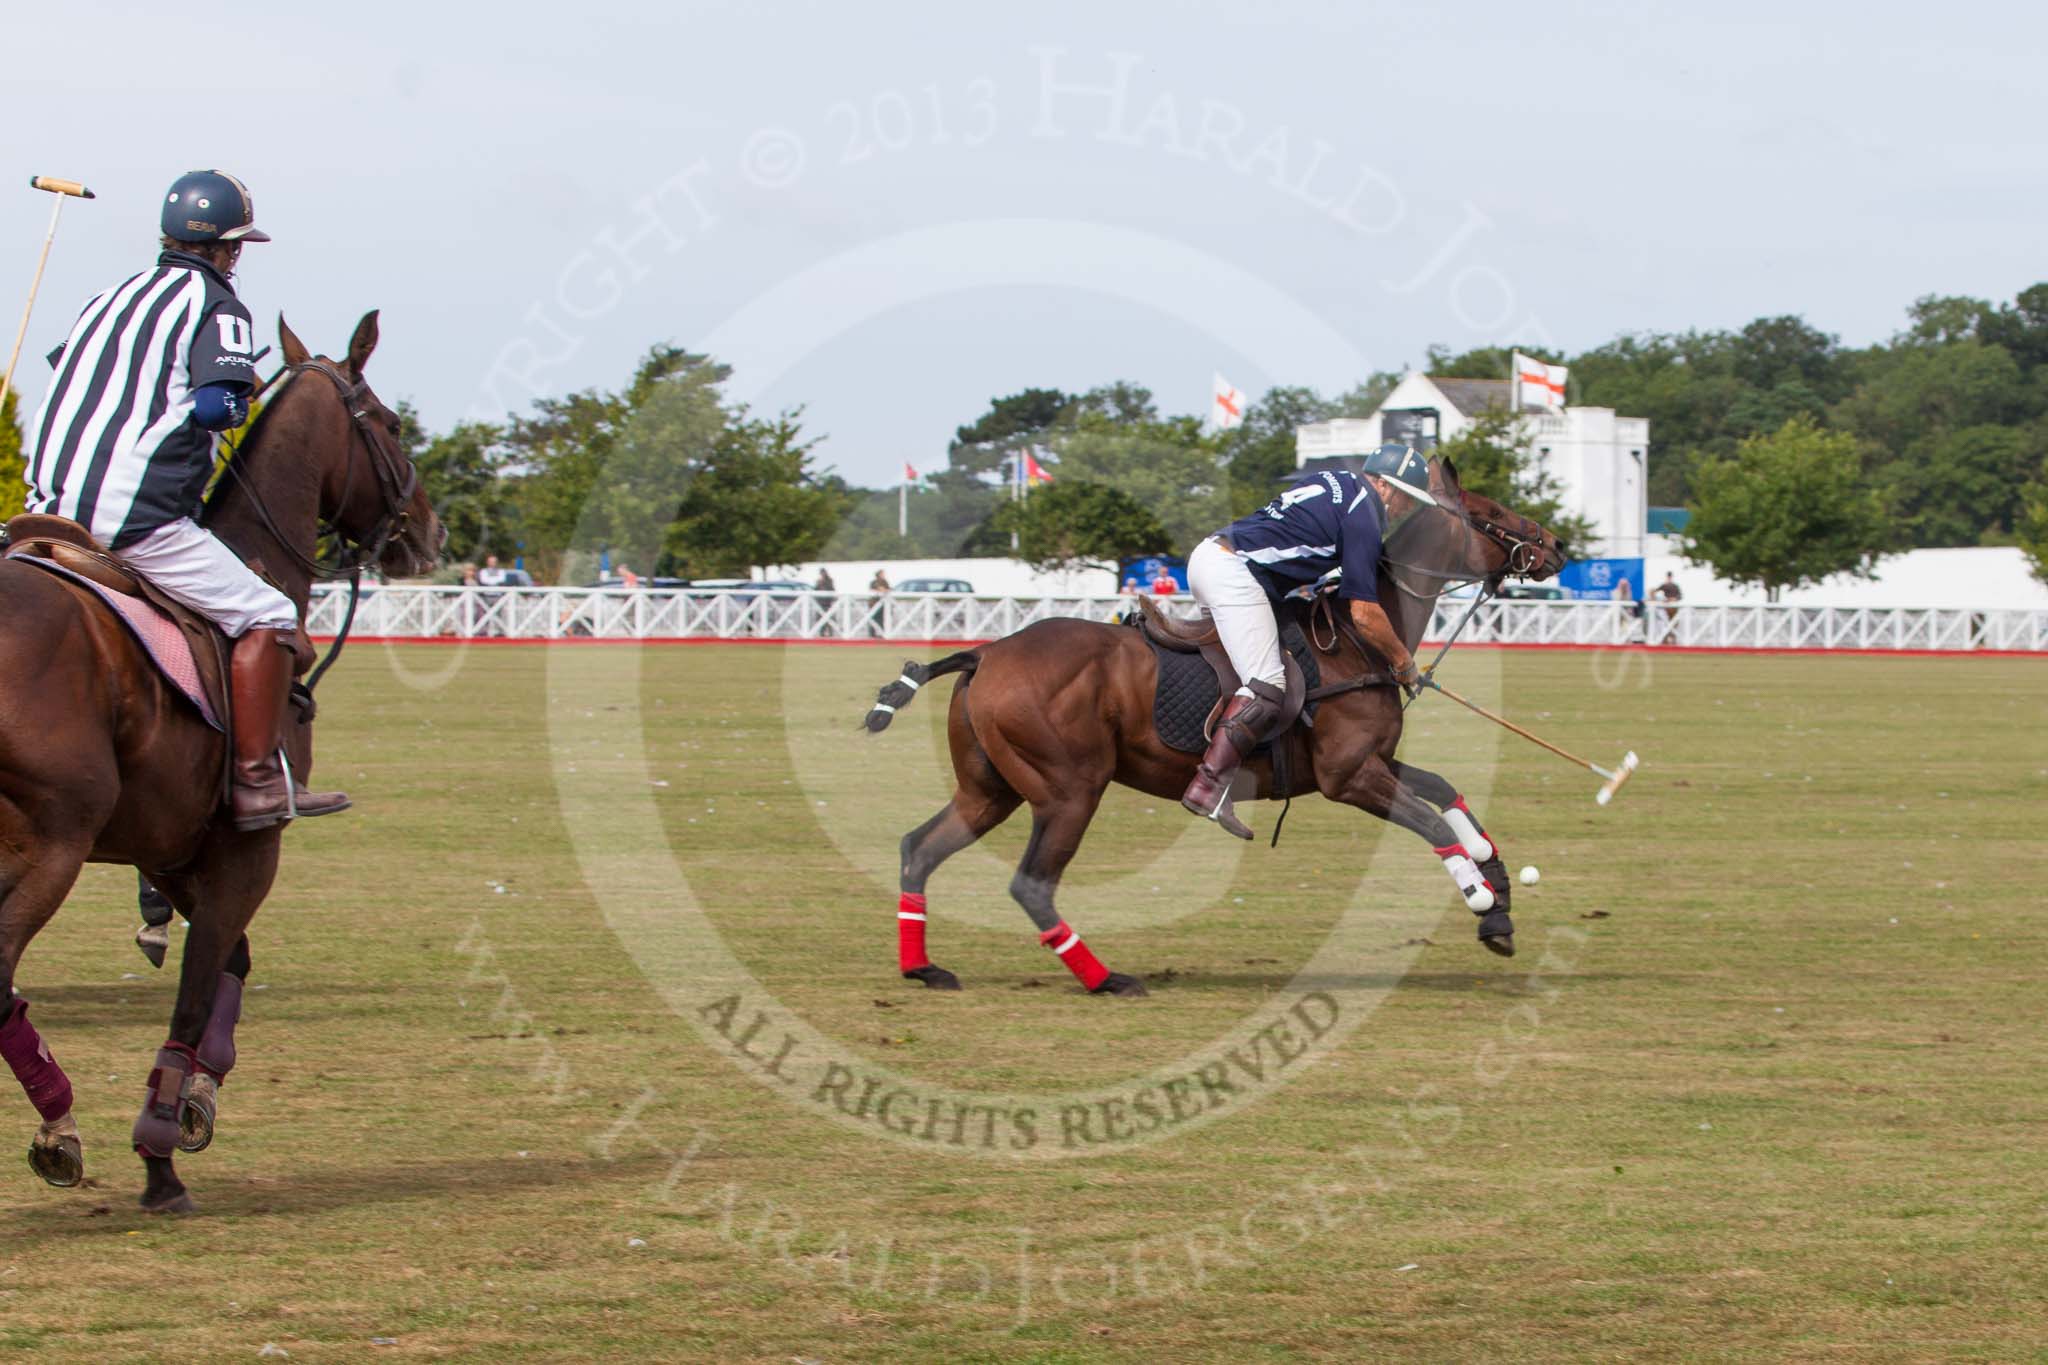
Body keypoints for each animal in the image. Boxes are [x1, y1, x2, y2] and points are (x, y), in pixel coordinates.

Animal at [0, 309, 440, 1203]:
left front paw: (200, 1094)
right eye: (387, 422)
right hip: (49, 845)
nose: (429, 529)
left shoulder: (169, 844)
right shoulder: (247, 846)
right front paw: (161, 1148)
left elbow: (230, 960)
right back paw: (59, 1120)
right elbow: (198, 989)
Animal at [864, 458, 1564, 994]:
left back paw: (924, 969)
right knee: (1031, 885)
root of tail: (985, 653)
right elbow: (1430, 824)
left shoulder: (1370, 763)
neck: (1356, 643)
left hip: (991, 788)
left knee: (918, 849)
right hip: (1068, 789)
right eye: (1493, 512)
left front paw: (1496, 887)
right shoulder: (1347, 778)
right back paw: (1106, 979)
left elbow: (1443, 791)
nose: (1556, 546)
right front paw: (1482, 901)